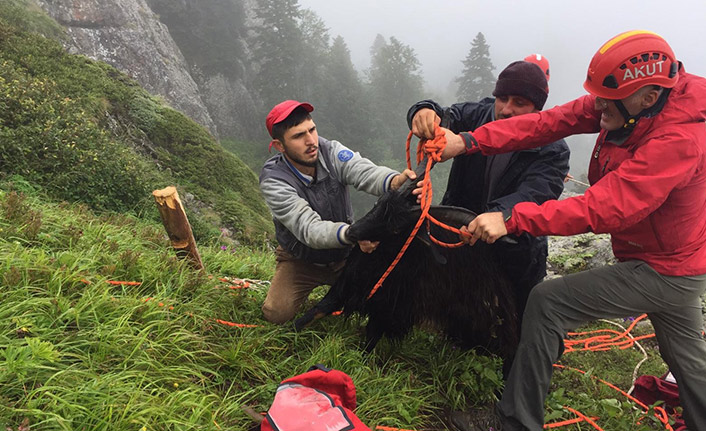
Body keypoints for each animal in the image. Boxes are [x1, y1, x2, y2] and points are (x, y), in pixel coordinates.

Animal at [292, 181, 516, 360]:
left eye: (396, 229)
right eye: (377, 204)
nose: (352, 232)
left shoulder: (386, 308)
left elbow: (370, 341)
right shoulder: (348, 285)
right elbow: (318, 309)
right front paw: (289, 331)